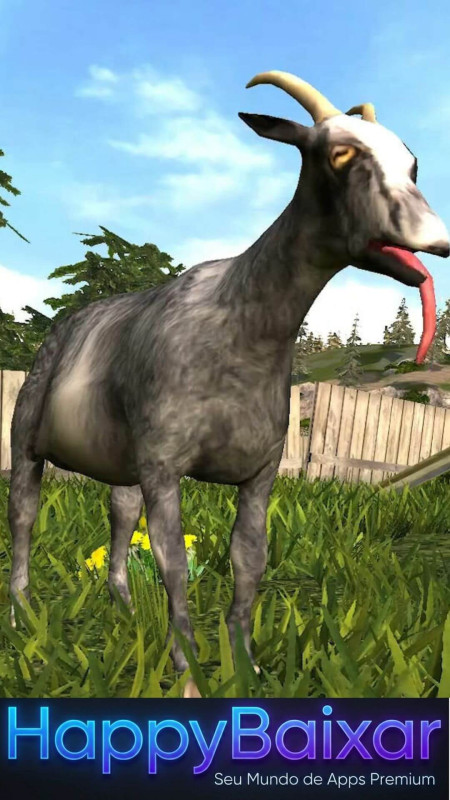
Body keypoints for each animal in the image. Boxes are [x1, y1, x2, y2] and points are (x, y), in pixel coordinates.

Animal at [8, 71, 449, 697]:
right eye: (340, 154)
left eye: (411, 162)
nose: (436, 240)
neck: (240, 324)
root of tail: (65, 326)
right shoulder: (165, 466)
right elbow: (171, 560)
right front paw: (188, 671)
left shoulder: (260, 472)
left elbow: (249, 558)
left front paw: (247, 663)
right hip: (29, 436)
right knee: (24, 513)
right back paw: (23, 615)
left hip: (124, 461)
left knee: (119, 515)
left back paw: (125, 611)